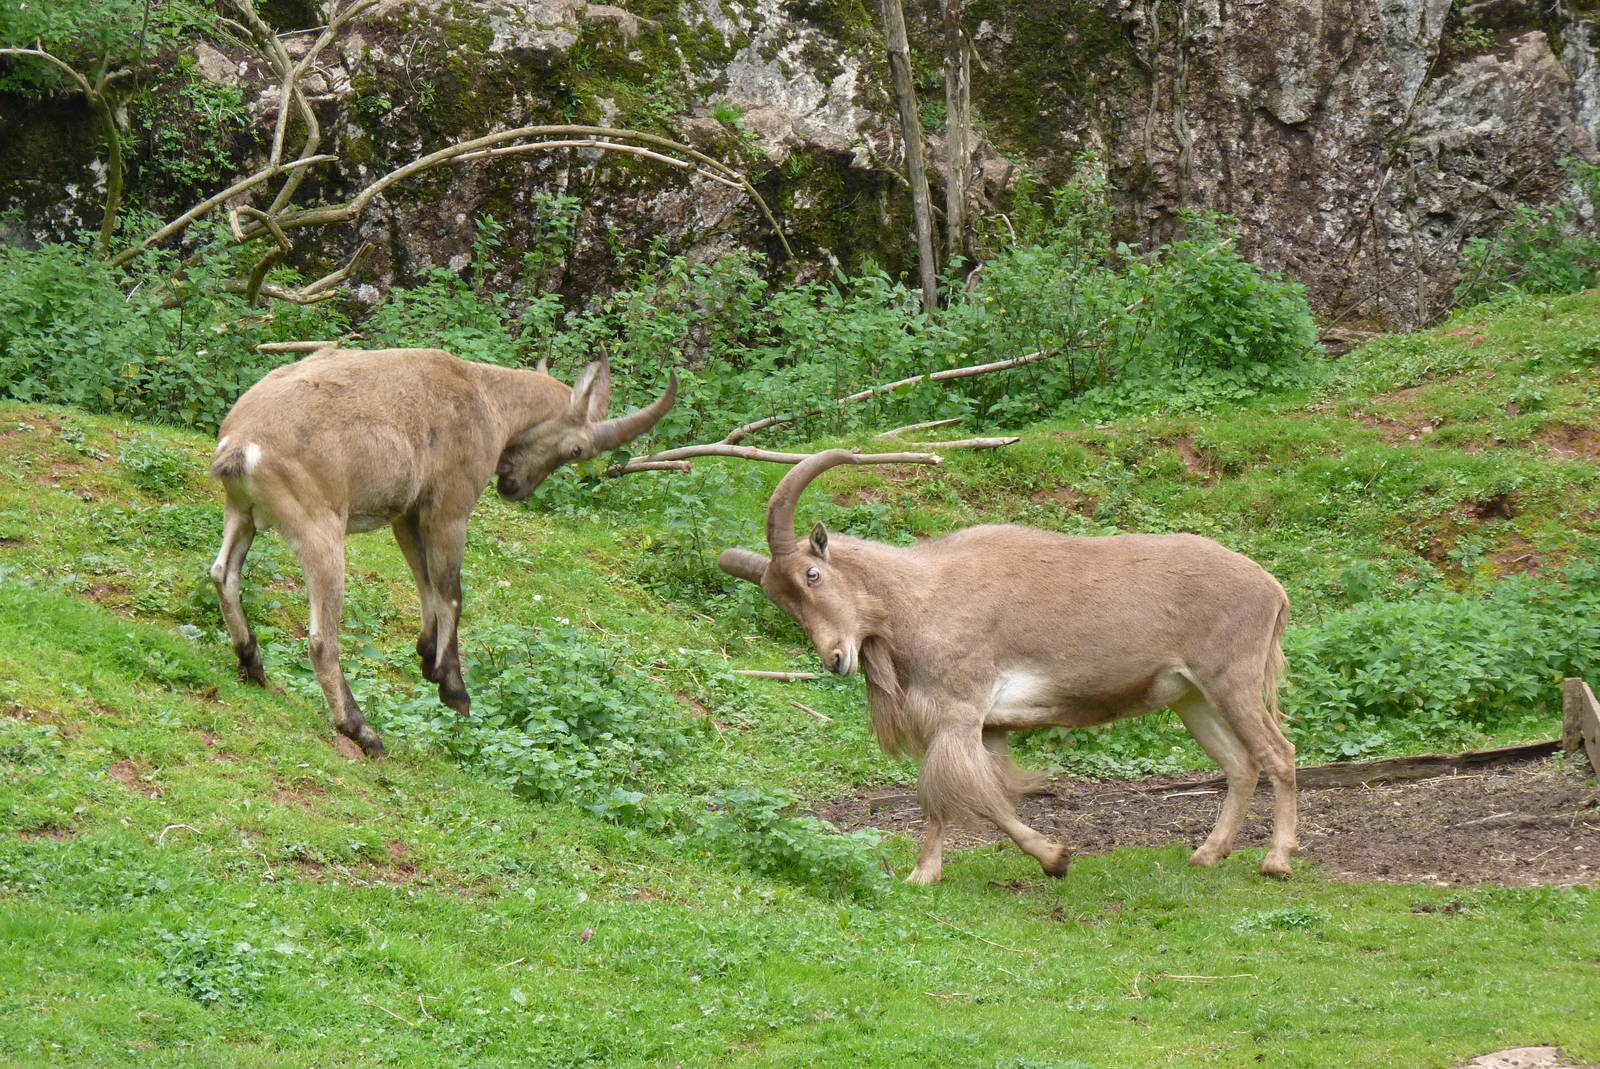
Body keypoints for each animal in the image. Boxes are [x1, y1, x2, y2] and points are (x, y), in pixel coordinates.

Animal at [210, 345, 676, 758]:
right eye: (577, 449)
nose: (515, 488)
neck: (485, 395)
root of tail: (241, 445)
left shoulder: (408, 515)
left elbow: (426, 583)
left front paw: (426, 655)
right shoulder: (450, 509)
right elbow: (451, 592)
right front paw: (453, 687)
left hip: (242, 514)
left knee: (223, 575)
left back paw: (253, 666)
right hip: (319, 529)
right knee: (323, 638)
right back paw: (362, 731)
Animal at [718, 449, 1297, 884]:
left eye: (812, 574)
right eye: (780, 600)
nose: (836, 658)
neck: (921, 597)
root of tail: (1271, 587)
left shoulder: (957, 713)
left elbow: (944, 794)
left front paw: (922, 874)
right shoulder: (989, 725)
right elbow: (995, 799)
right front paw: (1054, 858)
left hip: (1232, 681)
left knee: (1279, 754)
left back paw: (1276, 861)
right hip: (1191, 697)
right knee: (1240, 764)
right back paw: (1208, 854)